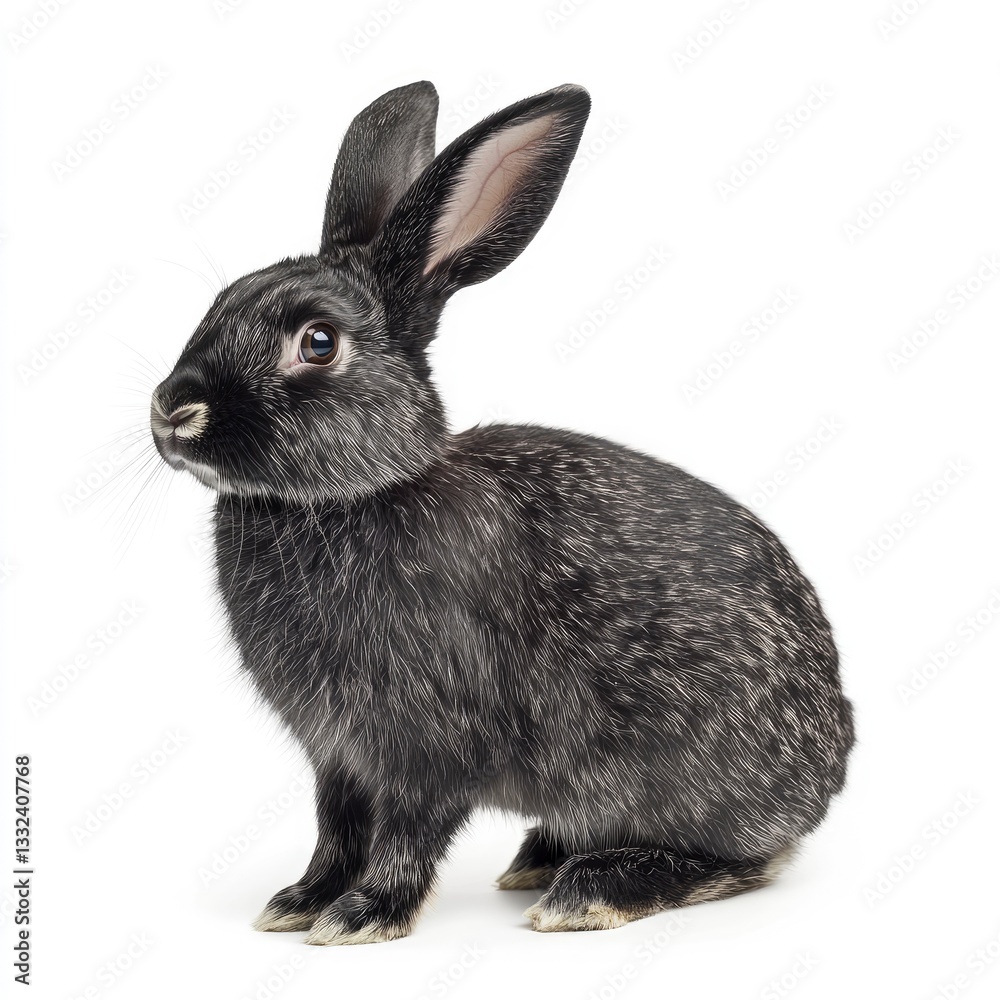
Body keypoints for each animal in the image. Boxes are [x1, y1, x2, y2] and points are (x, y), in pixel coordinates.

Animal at [150, 81, 855, 945]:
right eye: (218, 302)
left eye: (318, 343)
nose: (173, 409)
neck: (359, 493)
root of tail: (827, 768)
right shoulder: (339, 757)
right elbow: (335, 828)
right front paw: (299, 901)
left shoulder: (427, 744)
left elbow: (407, 832)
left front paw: (364, 915)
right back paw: (541, 856)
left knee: (744, 860)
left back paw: (589, 888)